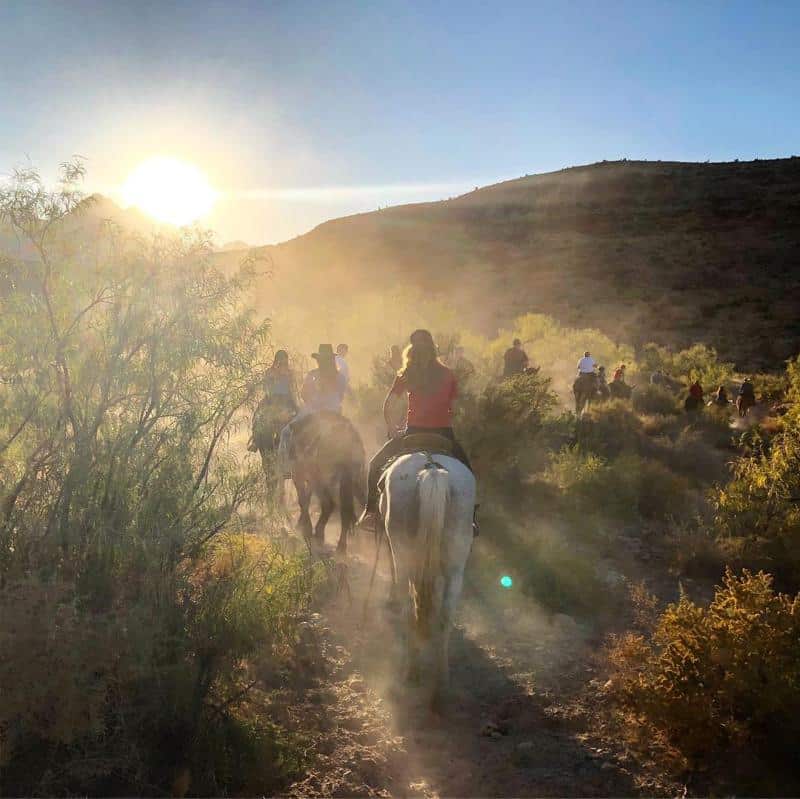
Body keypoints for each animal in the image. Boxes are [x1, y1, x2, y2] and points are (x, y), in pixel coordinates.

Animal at [282, 412, 366, 552]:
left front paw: (305, 527)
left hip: (322, 480)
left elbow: (303, 500)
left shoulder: (300, 475)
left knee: (330, 504)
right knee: (349, 508)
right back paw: (341, 545)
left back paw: (319, 534)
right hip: (353, 482)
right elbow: (306, 499)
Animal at [376, 450, 476, 712]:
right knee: (444, 618)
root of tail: (431, 469)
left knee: (409, 610)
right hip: (455, 565)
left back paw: (411, 670)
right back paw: (441, 688)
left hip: (405, 554)